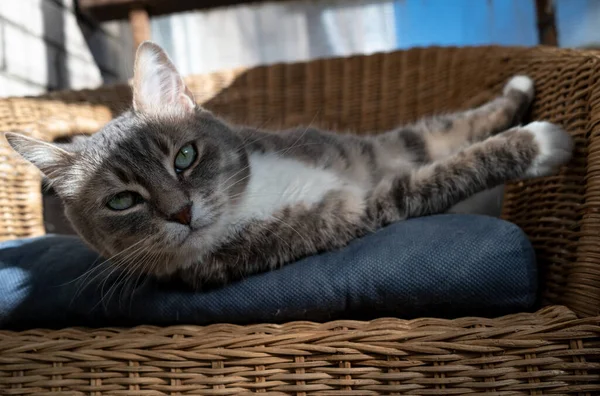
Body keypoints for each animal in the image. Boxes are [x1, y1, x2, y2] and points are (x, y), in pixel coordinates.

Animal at [5, 41, 576, 288]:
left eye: (184, 157)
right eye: (123, 200)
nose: (181, 213)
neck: (252, 195)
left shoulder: (363, 152)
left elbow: (435, 134)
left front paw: (517, 92)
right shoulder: (351, 209)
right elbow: (430, 176)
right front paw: (537, 143)